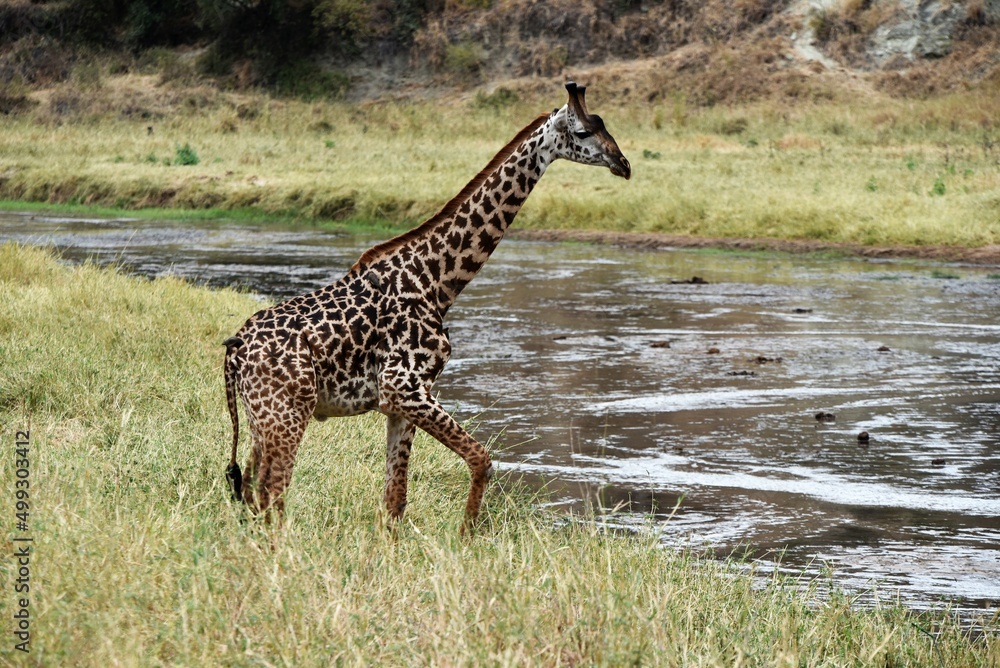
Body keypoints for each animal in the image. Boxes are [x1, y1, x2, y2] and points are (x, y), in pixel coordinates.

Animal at [223, 82, 631, 532]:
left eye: (606, 126)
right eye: (583, 132)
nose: (624, 164)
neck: (438, 282)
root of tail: (235, 350)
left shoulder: (401, 402)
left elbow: (394, 501)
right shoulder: (403, 386)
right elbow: (481, 458)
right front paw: (466, 535)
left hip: (262, 418)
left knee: (250, 490)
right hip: (287, 413)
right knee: (271, 493)